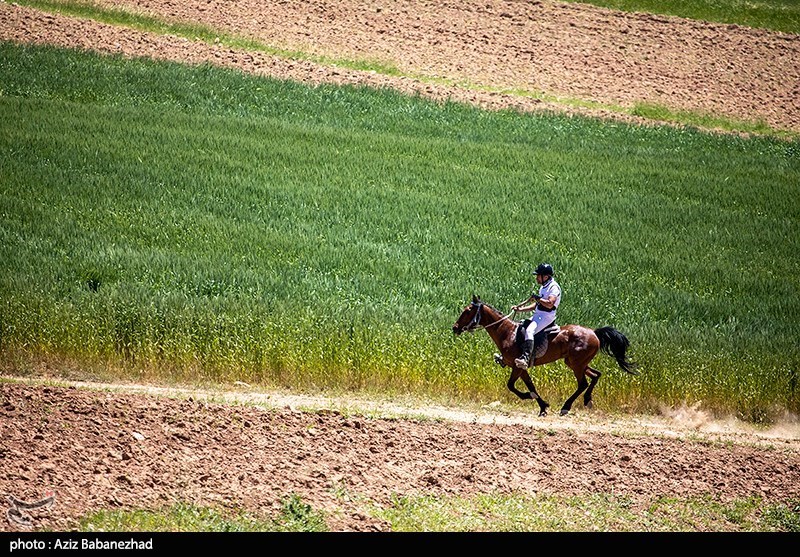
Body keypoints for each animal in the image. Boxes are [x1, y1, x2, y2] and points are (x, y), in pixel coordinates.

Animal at [454, 294, 636, 414]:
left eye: (467, 311)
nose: (454, 328)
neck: (507, 333)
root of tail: (594, 332)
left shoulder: (517, 367)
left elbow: (511, 386)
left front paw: (529, 397)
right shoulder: (521, 368)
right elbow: (531, 385)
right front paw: (542, 406)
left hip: (576, 364)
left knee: (583, 383)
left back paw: (566, 407)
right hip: (576, 362)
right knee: (596, 375)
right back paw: (587, 399)